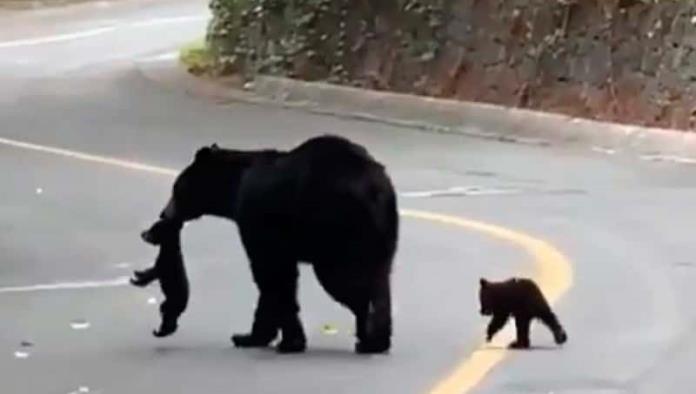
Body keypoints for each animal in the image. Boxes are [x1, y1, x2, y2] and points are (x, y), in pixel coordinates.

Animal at [150, 135, 400, 354]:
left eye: (176, 189)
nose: (163, 213)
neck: (236, 186)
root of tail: (375, 190)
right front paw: (250, 336)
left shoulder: (257, 220)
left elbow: (272, 274)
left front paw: (287, 341)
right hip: (382, 235)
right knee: (380, 282)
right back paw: (377, 340)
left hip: (336, 229)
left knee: (347, 282)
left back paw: (368, 337)